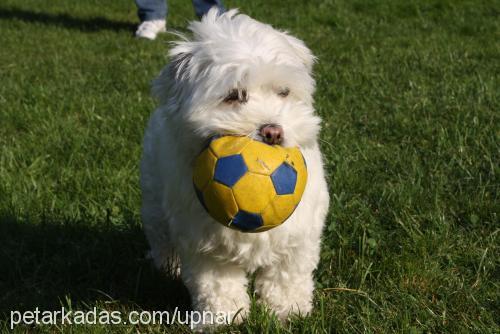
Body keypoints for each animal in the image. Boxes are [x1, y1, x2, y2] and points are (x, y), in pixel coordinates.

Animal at [139, 8, 330, 326]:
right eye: (233, 96)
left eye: (284, 92)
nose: (272, 132)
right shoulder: (204, 242)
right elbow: (217, 284)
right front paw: (223, 318)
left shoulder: (299, 233)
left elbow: (287, 275)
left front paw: (287, 311)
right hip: (154, 195)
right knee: (160, 233)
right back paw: (167, 266)